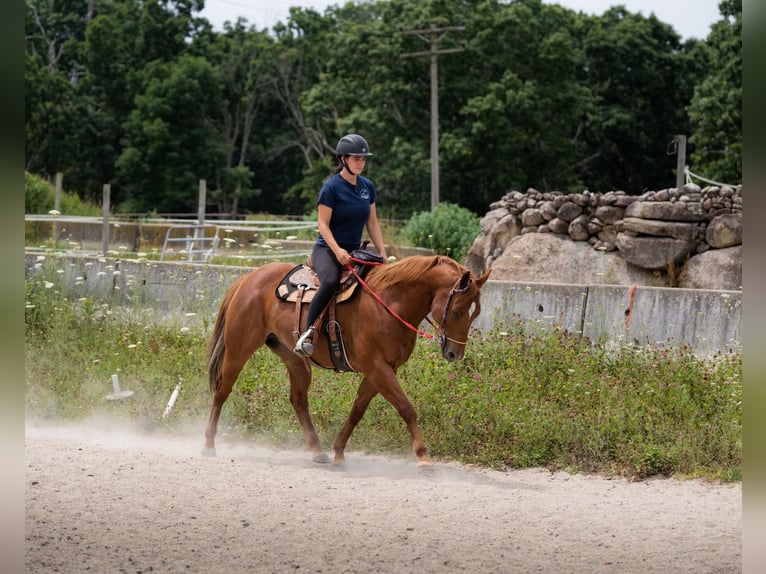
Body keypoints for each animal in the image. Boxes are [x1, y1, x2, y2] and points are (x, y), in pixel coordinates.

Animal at [204, 256, 492, 468]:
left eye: (475, 312)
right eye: (457, 311)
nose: (455, 353)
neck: (390, 303)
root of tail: (249, 277)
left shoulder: (381, 370)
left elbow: (357, 411)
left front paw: (339, 451)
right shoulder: (378, 367)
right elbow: (406, 408)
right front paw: (423, 456)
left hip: (294, 359)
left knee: (298, 399)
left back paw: (317, 451)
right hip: (239, 348)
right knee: (222, 390)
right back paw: (208, 444)